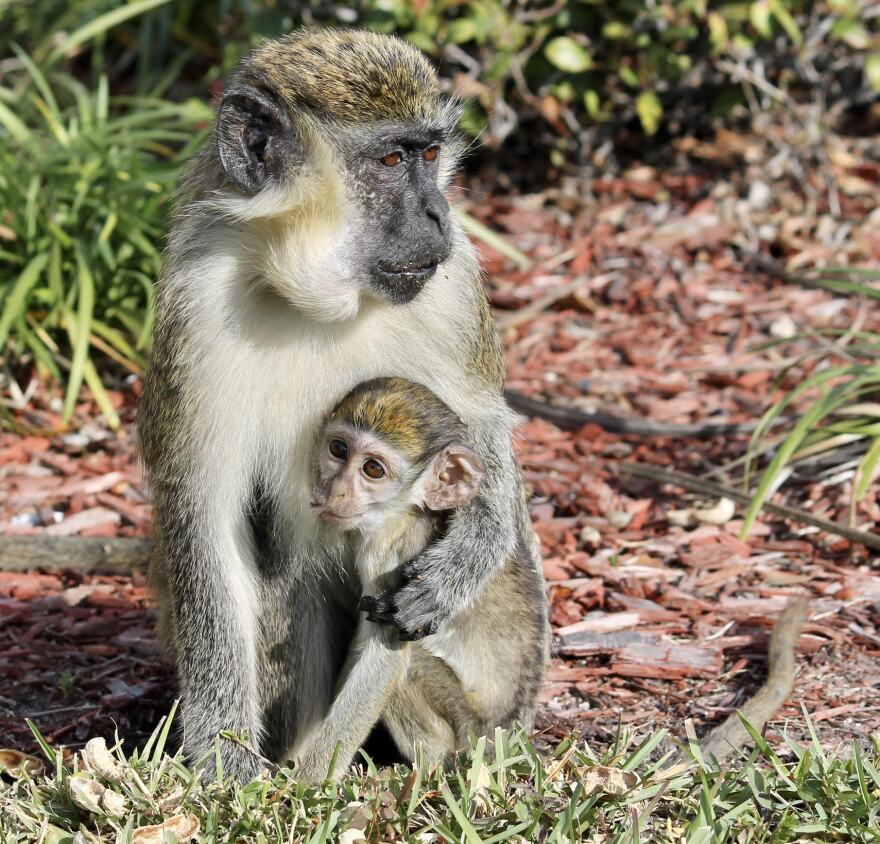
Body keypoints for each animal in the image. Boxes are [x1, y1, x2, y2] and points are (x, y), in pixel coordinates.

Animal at [302, 380, 552, 780]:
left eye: (373, 469)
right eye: (338, 450)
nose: (334, 489)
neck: (408, 510)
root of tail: (507, 737)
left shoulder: (389, 551)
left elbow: (386, 657)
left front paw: (305, 782)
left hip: (468, 730)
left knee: (414, 664)